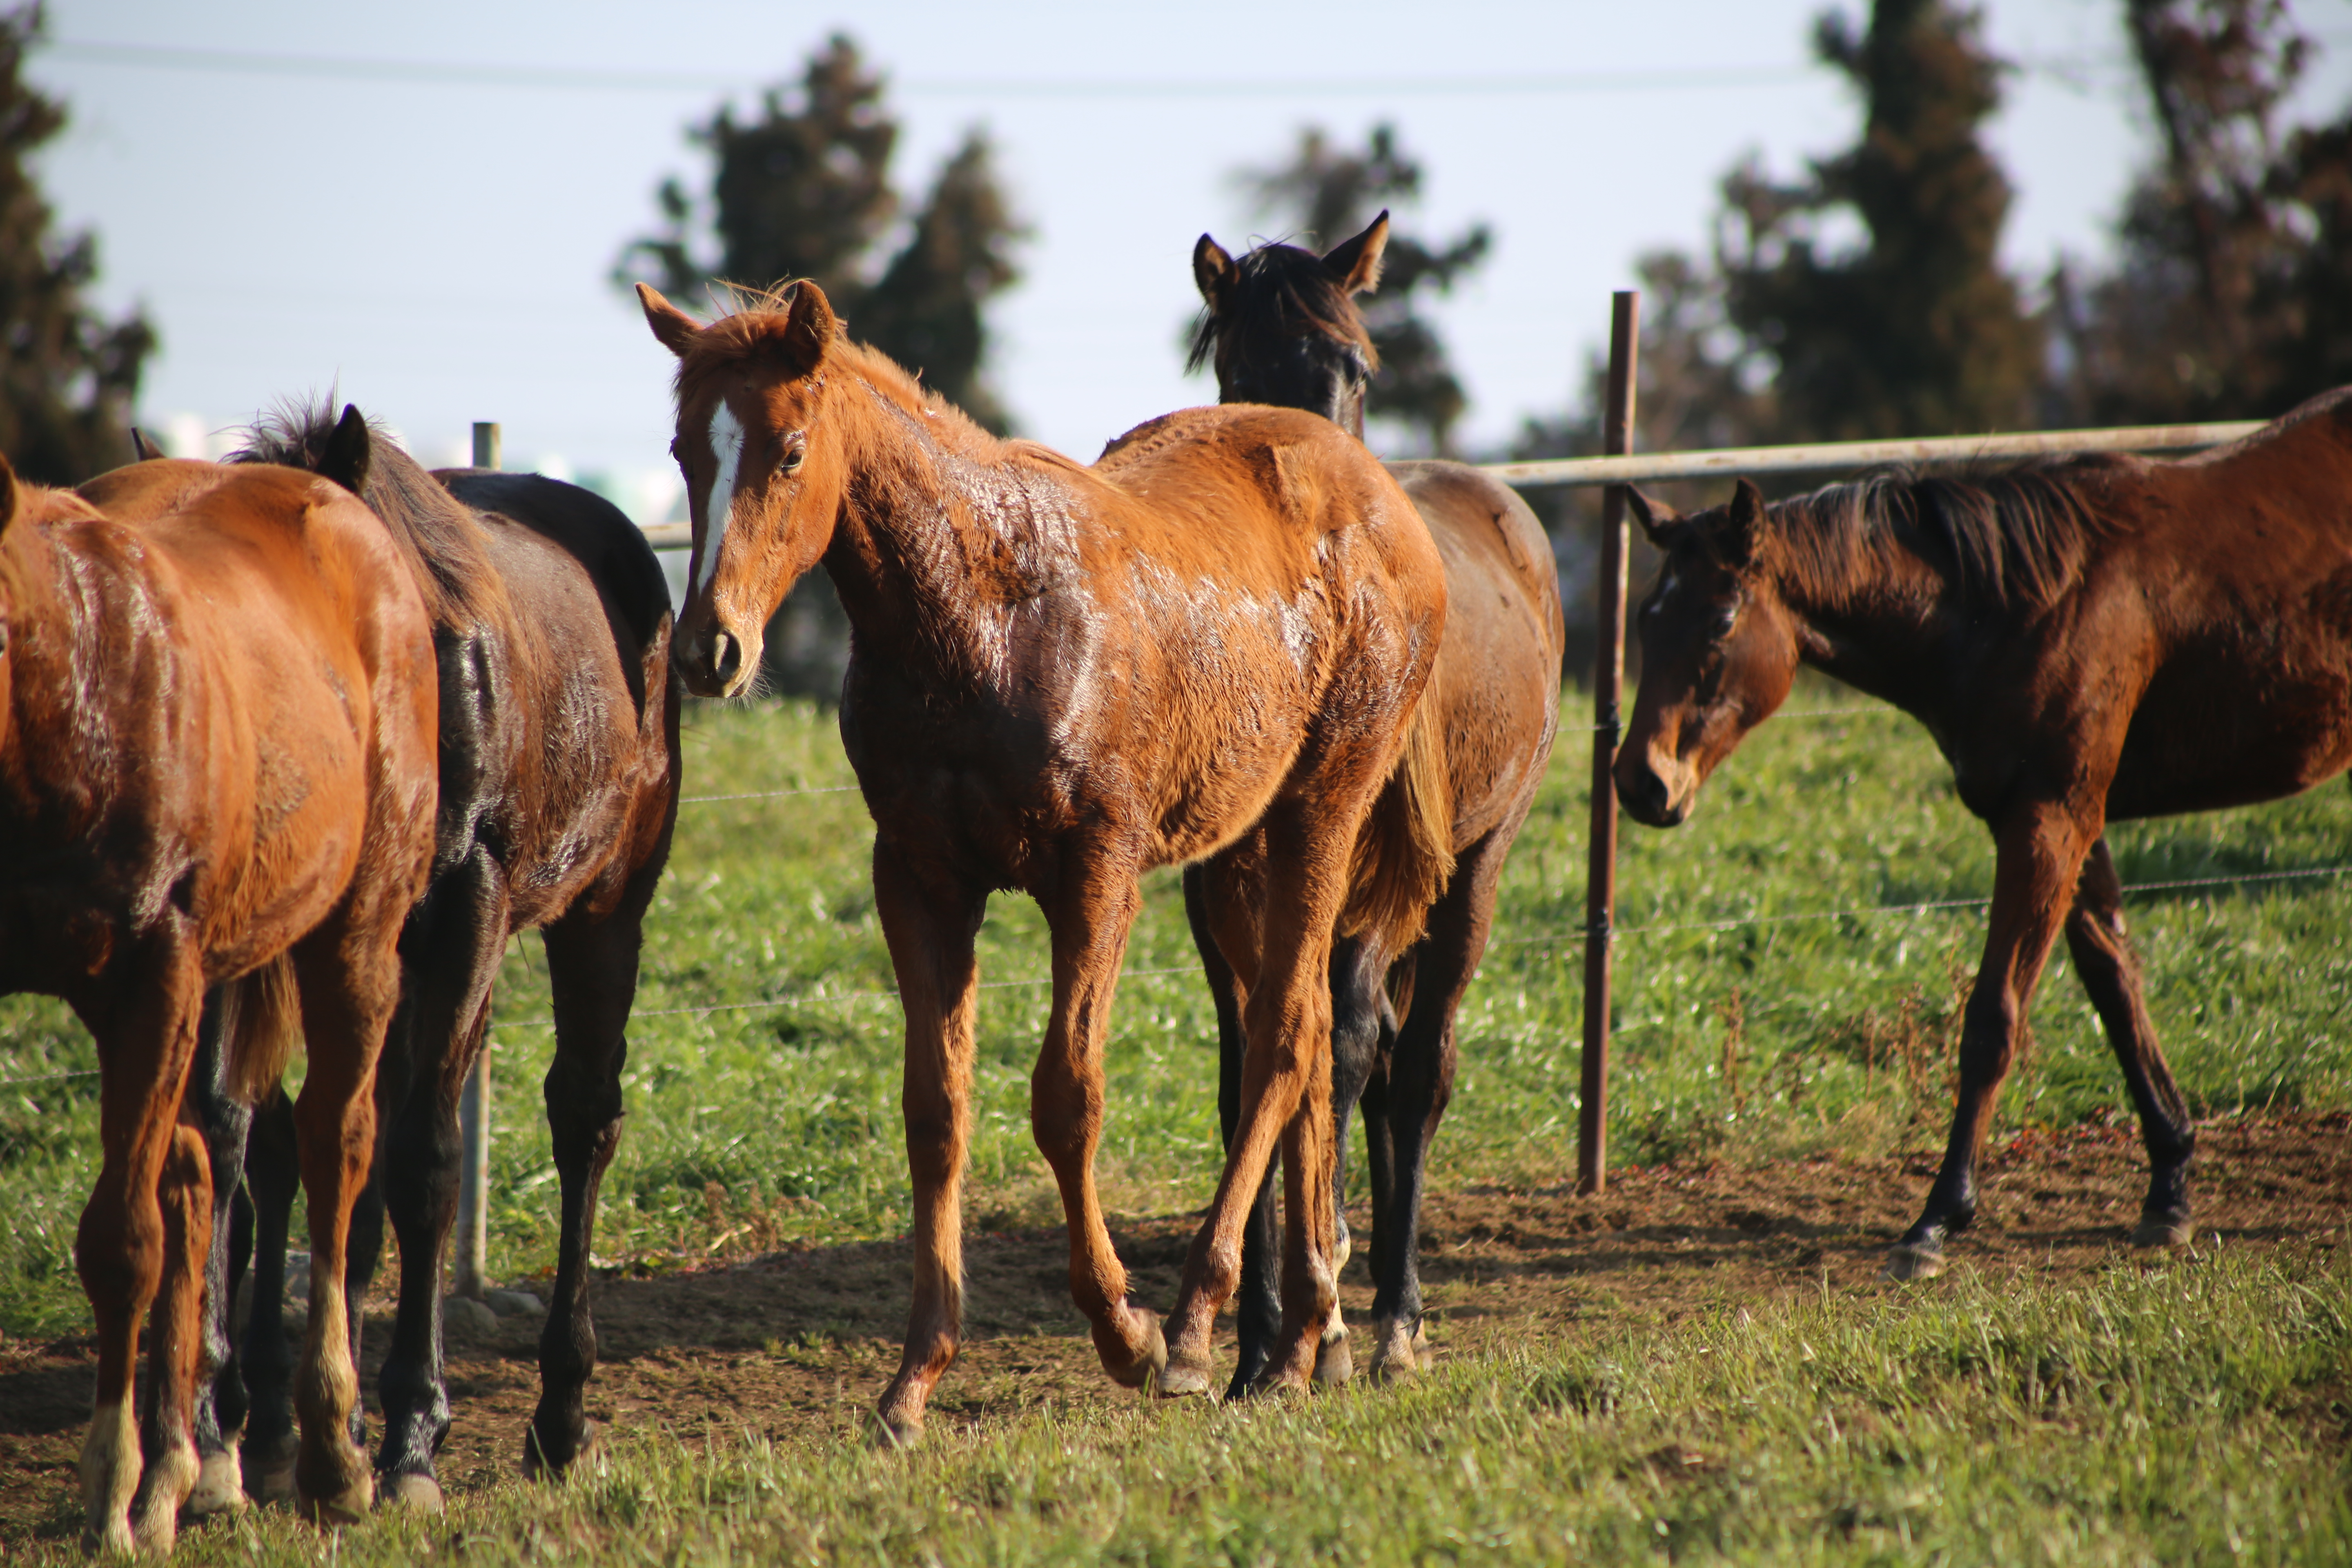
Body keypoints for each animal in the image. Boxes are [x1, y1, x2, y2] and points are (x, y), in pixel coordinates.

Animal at [0, 456, 440, 1561]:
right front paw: (149, 1478)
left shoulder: (157, 970)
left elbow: (123, 1241)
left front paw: (109, 1495)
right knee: (201, 1171)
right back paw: (183, 1472)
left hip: (354, 934)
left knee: (334, 1144)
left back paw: (331, 1453)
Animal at [639, 276, 1449, 1429]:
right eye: (682, 450)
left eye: (789, 450)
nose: (711, 649)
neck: (987, 614)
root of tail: (1378, 491)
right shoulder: (920, 879)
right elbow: (935, 1109)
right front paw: (913, 1377)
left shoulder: (1095, 873)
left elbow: (1067, 1099)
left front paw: (1126, 1332)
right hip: (1241, 844)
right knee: (1294, 1033)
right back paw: (1310, 1336)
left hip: (1322, 806)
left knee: (1286, 1041)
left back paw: (1201, 1325)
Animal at [1195, 215, 1561, 1392]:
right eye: (1235, 373)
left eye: (1354, 370)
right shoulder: (1218, 889)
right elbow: (1252, 1069)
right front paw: (1257, 1340)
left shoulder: (1357, 871)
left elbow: (1341, 1051)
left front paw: (1320, 1334)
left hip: (1471, 871)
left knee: (1416, 1067)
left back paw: (1396, 1311)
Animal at [1618, 385, 2352, 1278]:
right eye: (1646, 617)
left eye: (1722, 619)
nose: (1640, 781)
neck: (2022, 607)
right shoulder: (2069, 819)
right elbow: (2116, 986)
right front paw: (2170, 1188)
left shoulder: (2048, 820)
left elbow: (1994, 1020)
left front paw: (1936, 1221)